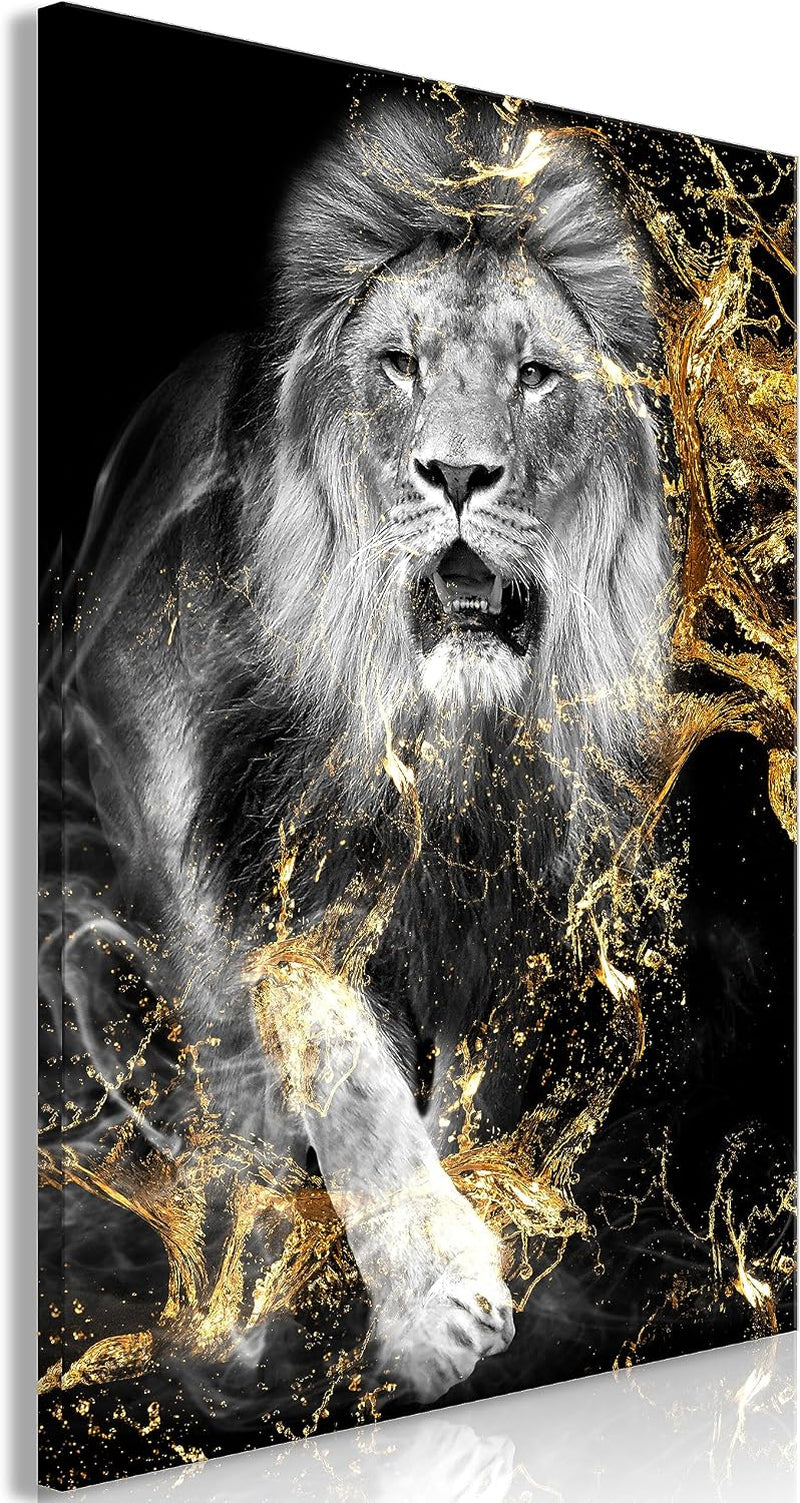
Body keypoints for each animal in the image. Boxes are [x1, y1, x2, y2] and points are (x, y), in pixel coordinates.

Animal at [72, 93, 671, 1404]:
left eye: (535, 376)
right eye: (398, 364)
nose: (454, 473)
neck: (443, 737)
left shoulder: (516, 923)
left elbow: (470, 1098)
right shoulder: (272, 882)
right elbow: (344, 1071)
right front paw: (436, 1311)